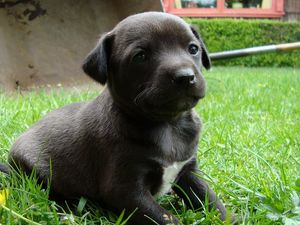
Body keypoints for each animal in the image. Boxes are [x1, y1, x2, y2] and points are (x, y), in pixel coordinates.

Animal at [4, 12, 230, 225]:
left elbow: (211, 200)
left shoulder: (189, 172)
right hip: (36, 172)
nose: (185, 77)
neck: (168, 124)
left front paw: (230, 218)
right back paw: (66, 215)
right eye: (140, 56)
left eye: (193, 49)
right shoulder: (125, 189)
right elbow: (165, 218)